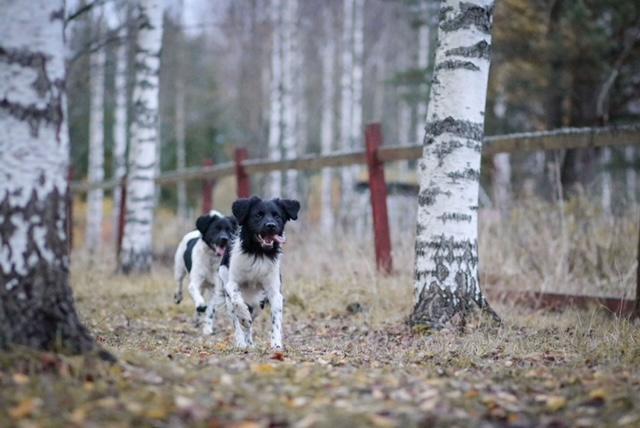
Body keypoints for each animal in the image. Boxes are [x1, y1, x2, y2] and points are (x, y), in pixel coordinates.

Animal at [217, 196, 300, 349]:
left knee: (250, 325)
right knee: (236, 321)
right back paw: (241, 341)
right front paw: (244, 317)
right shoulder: (231, 284)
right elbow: (237, 301)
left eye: (277, 216)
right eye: (258, 215)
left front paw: (276, 344)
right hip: (229, 299)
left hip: (258, 304)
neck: (258, 253)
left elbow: (276, 320)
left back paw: (249, 342)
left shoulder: (274, 292)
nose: (271, 225)